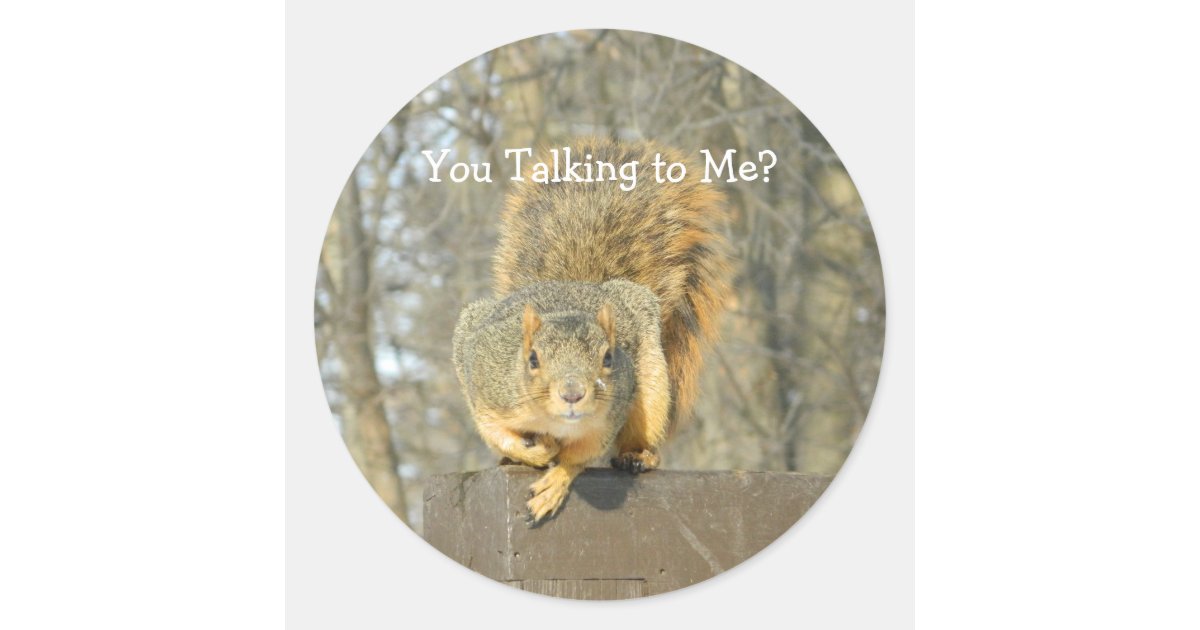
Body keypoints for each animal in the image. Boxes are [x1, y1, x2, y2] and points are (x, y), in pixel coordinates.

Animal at [452, 138, 731, 523]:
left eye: (608, 358)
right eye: (532, 359)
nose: (573, 394)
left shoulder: (609, 414)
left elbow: (579, 456)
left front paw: (555, 482)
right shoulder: (486, 385)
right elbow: (496, 432)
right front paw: (533, 452)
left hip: (652, 386)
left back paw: (638, 455)